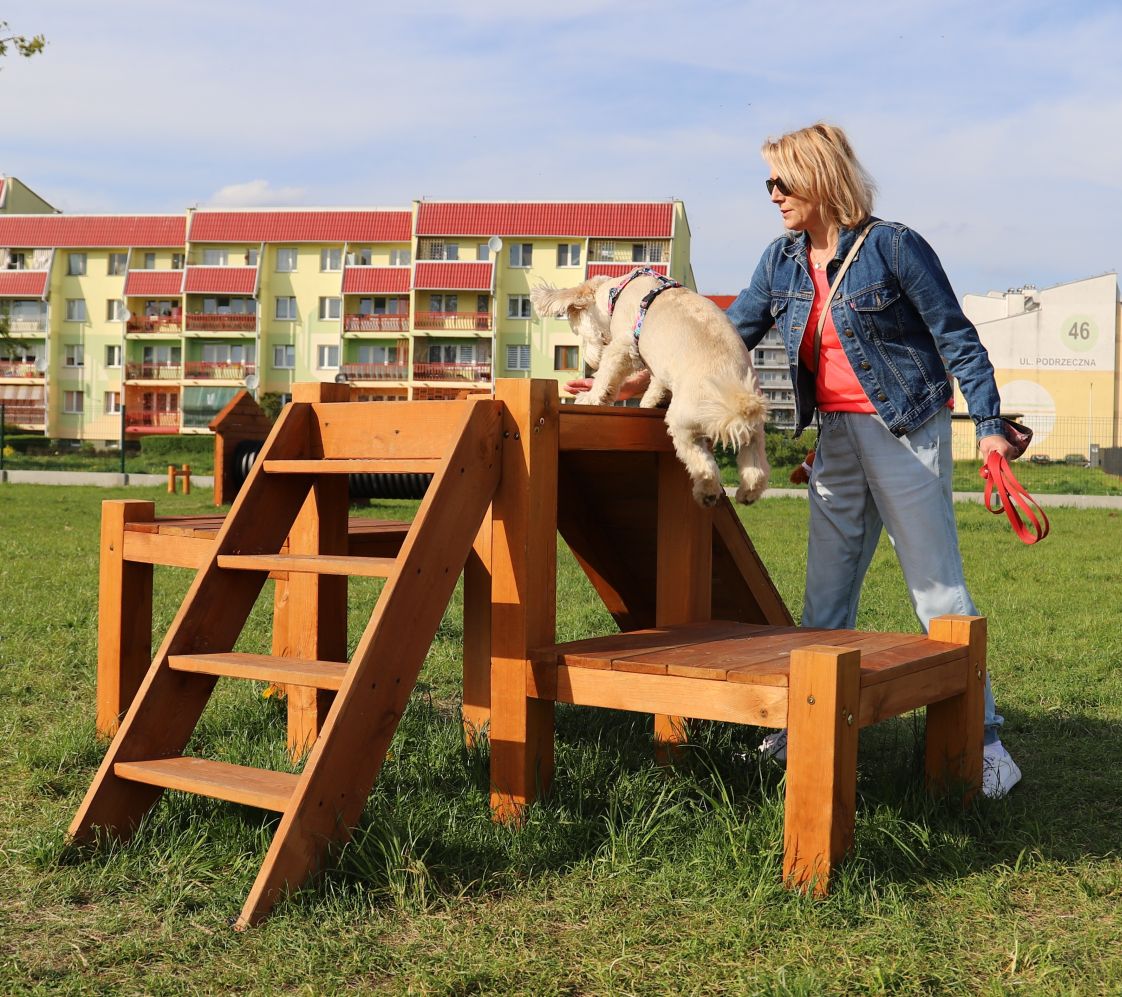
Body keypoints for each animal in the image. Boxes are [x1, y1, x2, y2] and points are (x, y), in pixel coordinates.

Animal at [529, 272, 767, 504]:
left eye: (578, 332)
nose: (590, 362)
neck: (616, 292)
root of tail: (735, 394)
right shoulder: (658, 363)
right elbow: (656, 383)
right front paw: (651, 400)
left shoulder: (623, 345)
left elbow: (607, 373)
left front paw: (591, 396)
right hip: (754, 431)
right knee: (757, 467)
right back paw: (747, 493)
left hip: (683, 422)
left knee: (702, 463)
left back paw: (706, 492)